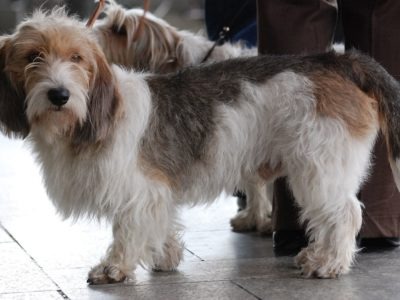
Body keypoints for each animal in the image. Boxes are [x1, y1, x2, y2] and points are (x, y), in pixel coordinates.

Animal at [0, 8, 400, 282]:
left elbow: (127, 229)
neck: (88, 119)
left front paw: (114, 267)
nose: (59, 95)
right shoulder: (156, 192)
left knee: (345, 213)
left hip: (320, 166)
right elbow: (160, 223)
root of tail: (338, 60)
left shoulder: (137, 191)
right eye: (33, 57)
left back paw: (329, 263)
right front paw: (165, 256)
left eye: (77, 58)